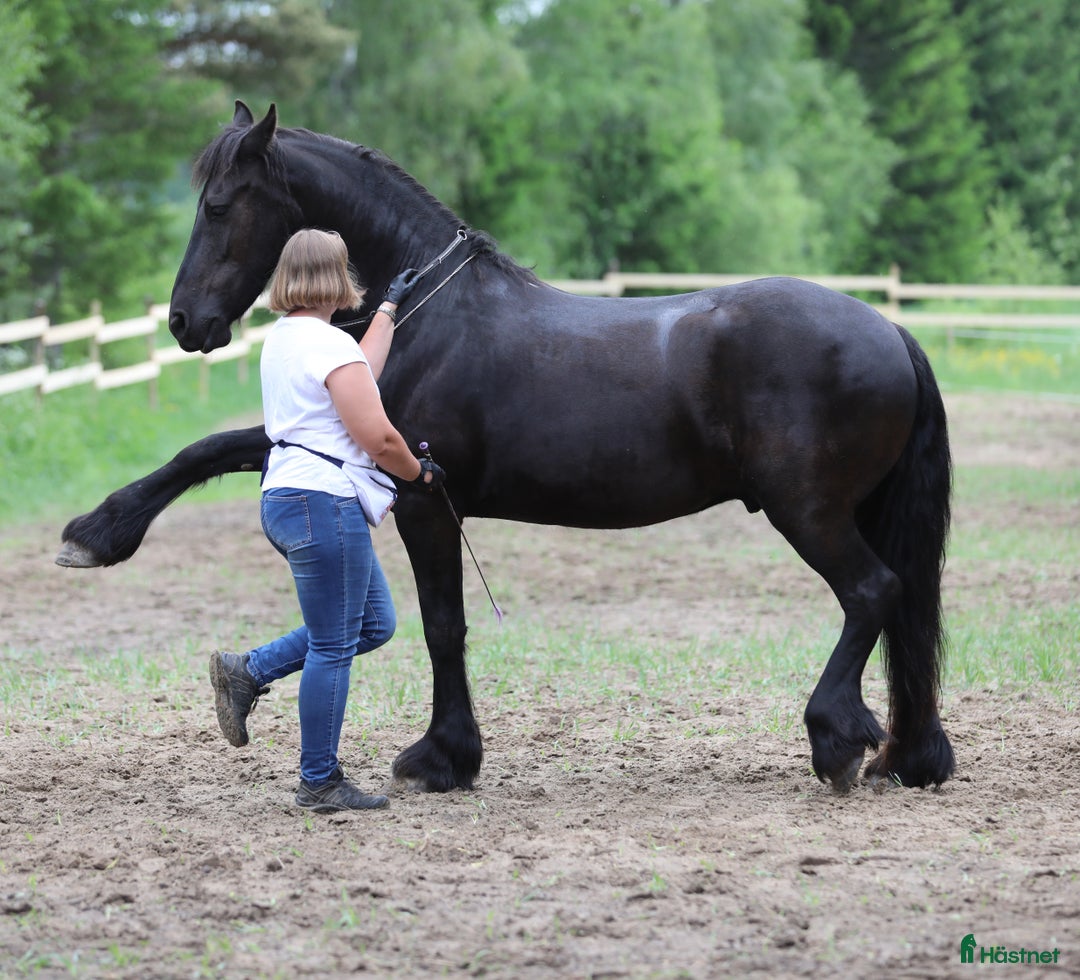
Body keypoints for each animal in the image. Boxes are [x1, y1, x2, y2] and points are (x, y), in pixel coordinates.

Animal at [58, 102, 955, 794]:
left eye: (218, 206)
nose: (185, 322)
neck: (426, 316)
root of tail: (891, 331)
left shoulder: (420, 497)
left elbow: (442, 626)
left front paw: (441, 758)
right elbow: (210, 449)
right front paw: (100, 531)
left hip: (807, 511)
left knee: (872, 592)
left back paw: (835, 739)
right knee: (899, 604)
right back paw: (907, 756)